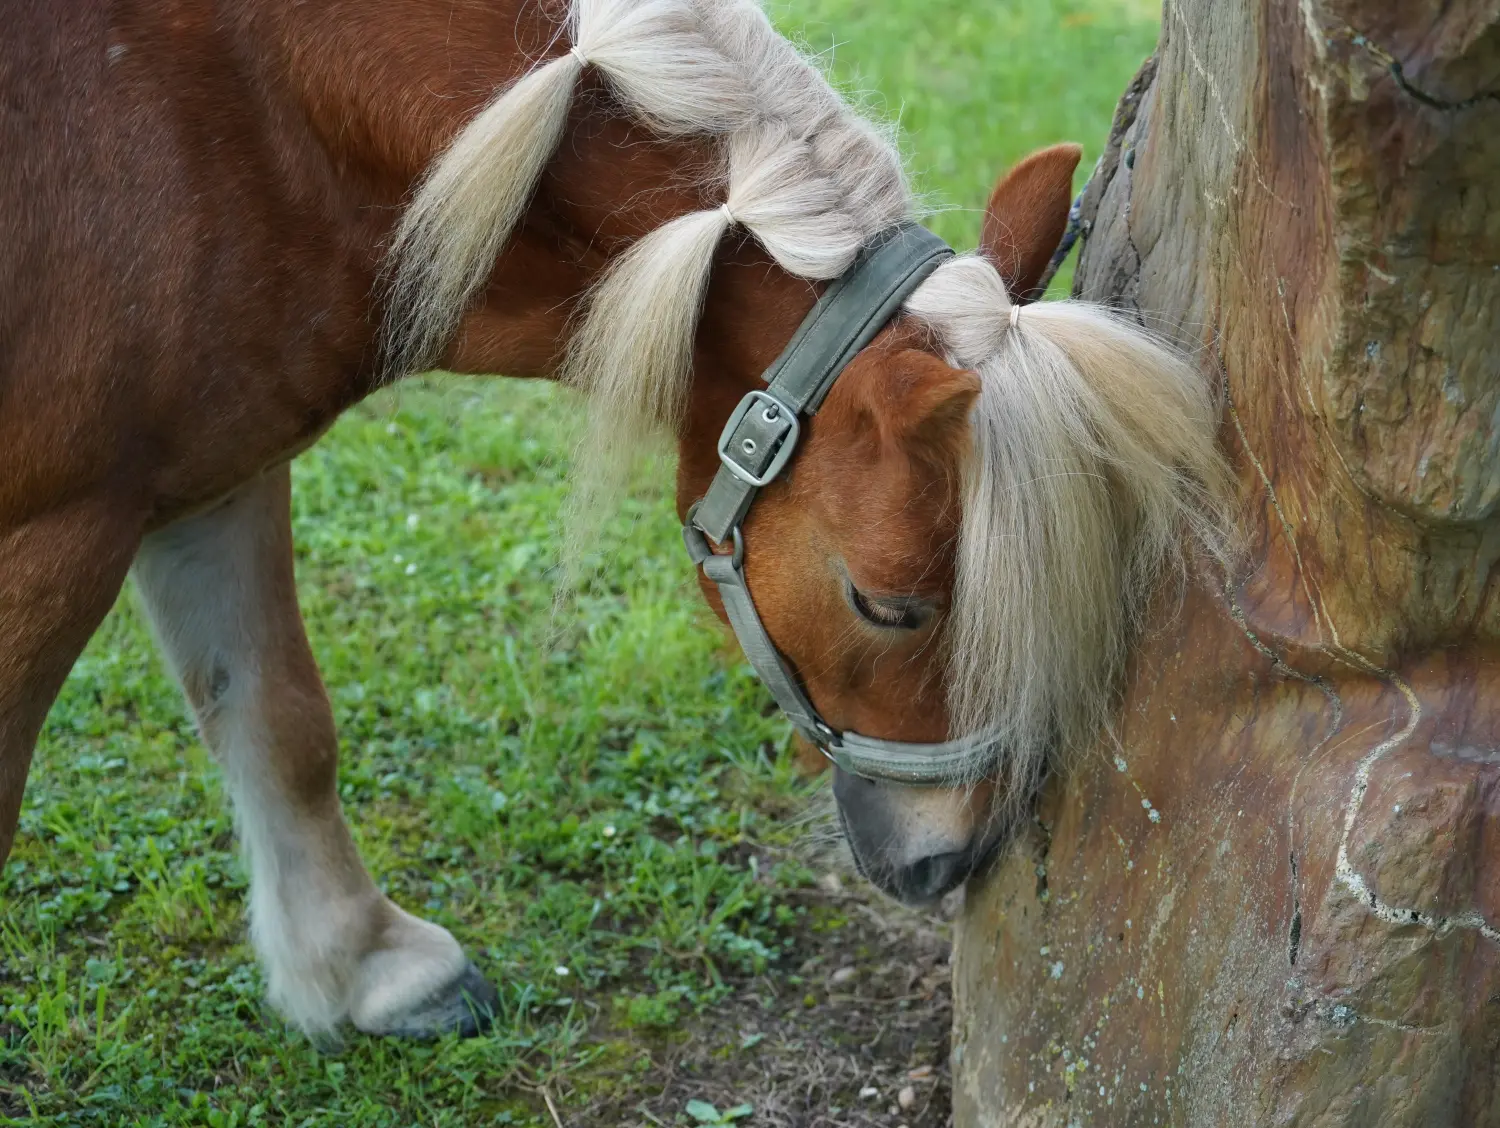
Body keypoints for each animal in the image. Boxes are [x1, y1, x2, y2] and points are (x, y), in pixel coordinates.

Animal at [0, 0, 1224, 1038]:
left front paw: (362, 970)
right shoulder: (57, 535)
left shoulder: (212, 469)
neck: (252, 105)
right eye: (887, 606)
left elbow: (278, 719)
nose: (953, 858)